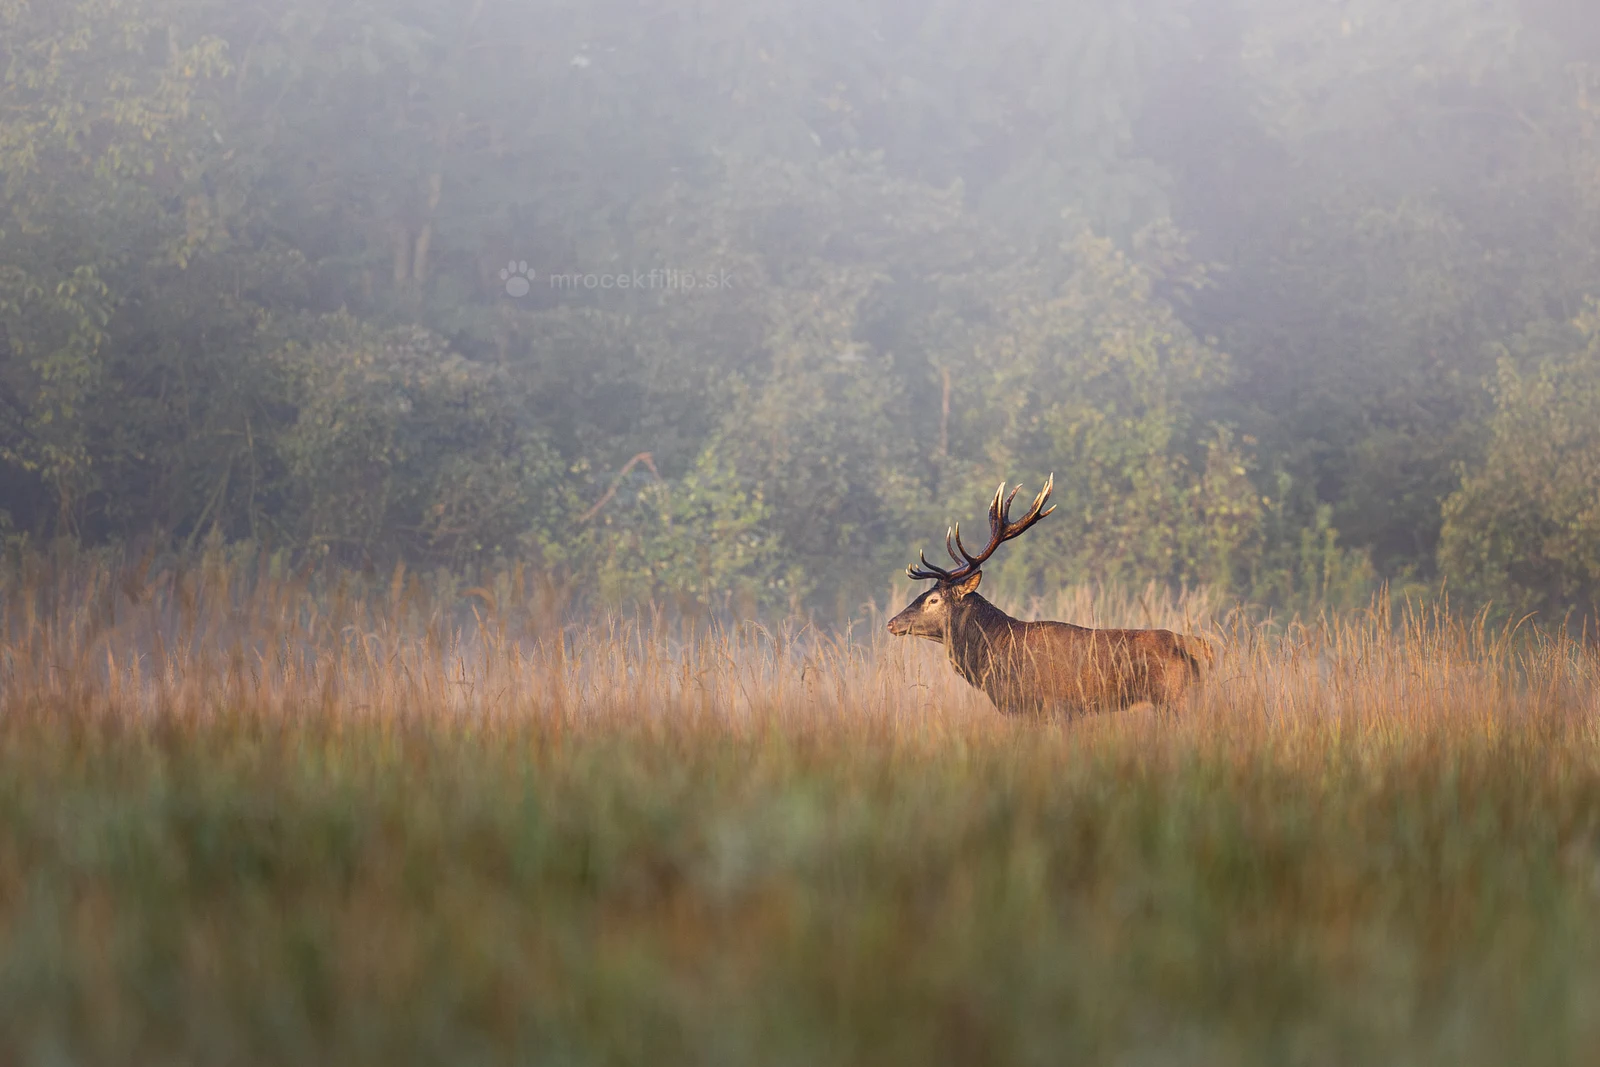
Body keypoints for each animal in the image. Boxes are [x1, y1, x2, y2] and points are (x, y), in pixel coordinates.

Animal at [887, 476, 1214, 718]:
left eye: (934, 600)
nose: (891, 623)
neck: (991, 654)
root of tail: (1200, 649)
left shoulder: (1045, 707)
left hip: (1177, 699)